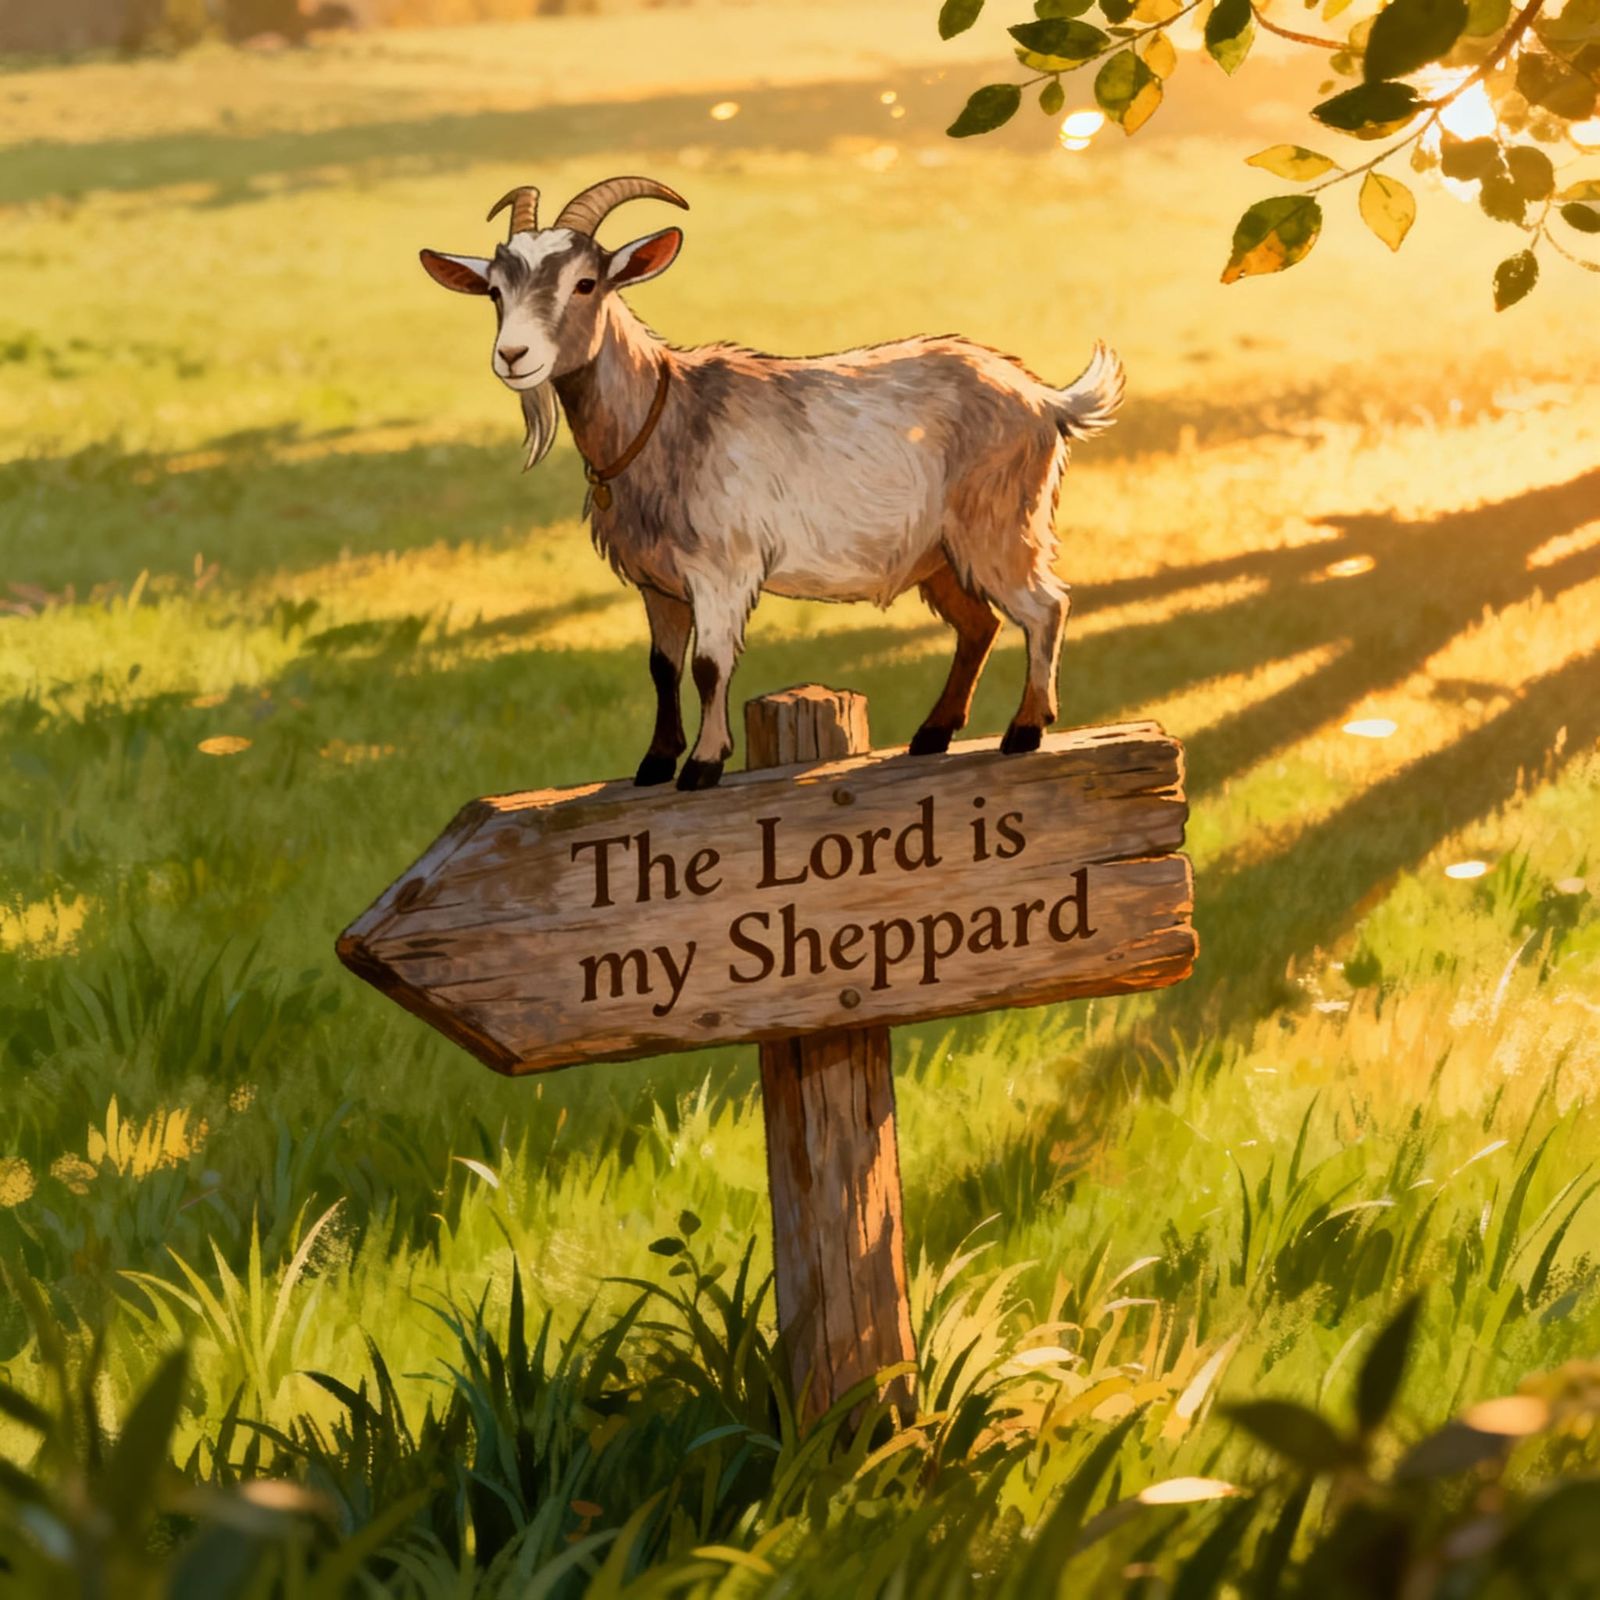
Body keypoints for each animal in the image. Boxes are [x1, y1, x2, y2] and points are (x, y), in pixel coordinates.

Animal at [421, 176, 1124, 790]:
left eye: (586, 283)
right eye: (494, 292)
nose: (513, 357)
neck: (666, 415)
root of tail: (1045, 399)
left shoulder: (722, 569)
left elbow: (709, 665)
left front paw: (703, 767)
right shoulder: (658, 582)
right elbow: (661, 667)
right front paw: (655, 764)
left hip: (999, 524)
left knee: (1045, 605)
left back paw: (1025, 730)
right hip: (939, 554)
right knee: (978, 625)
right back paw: (933, 733)